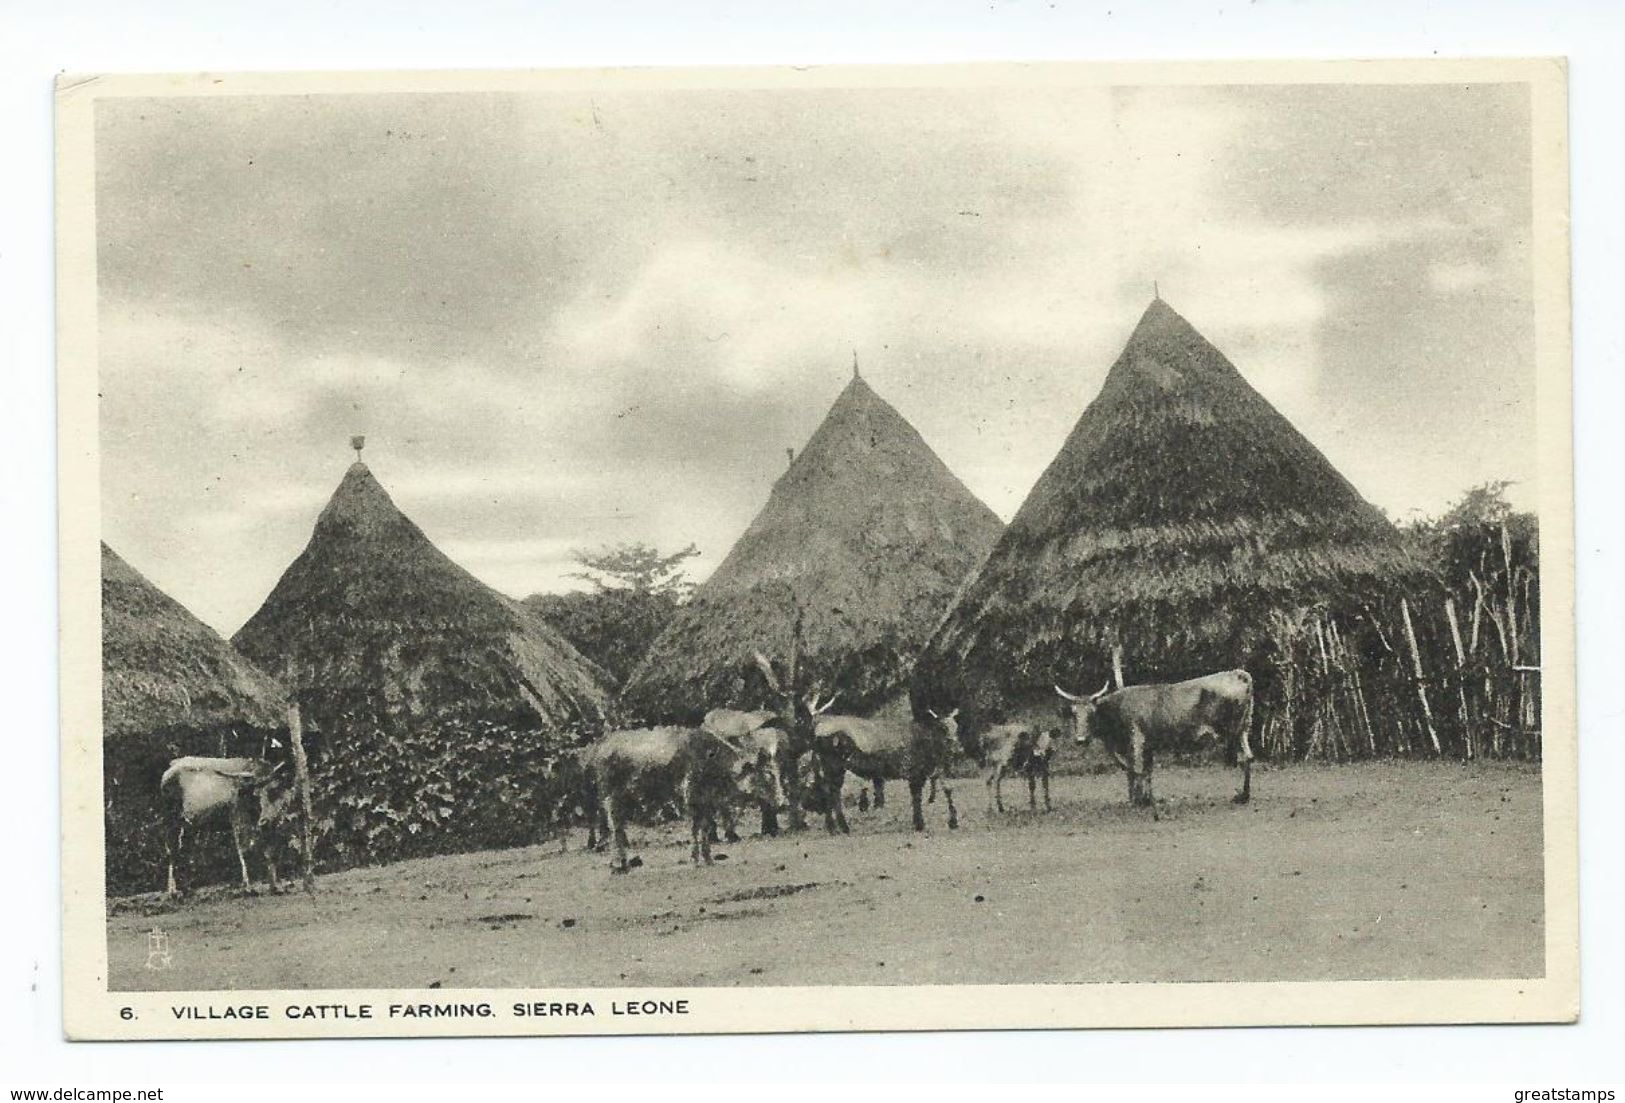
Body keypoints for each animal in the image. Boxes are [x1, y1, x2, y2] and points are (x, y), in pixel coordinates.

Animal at [158, 753, 289, 903]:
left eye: (274, 790)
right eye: (256, 794)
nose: (265, 820)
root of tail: (171, 767)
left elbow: (270, 852)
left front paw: (275, 887)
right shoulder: (238, 817)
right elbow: (244, 850)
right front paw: (248, 887)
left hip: (187, 823)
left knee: (181, 850)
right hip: (171, 820)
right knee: (171, 850)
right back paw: (172, 892)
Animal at [1053, 666, 1254, 812]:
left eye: (1092, 713)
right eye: (1074, 714)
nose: (1080, 739)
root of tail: (1238, 673)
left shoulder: (1136, 741)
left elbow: (1136, 769)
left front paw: (1139, 801)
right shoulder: (1147, 745)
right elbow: (1145, 771)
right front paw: (1146, 798)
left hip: (1233, 731)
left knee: (1242, 758)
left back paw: (1241, 796)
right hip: (1243, 729)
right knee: (1248, 757)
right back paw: (1244, 796)